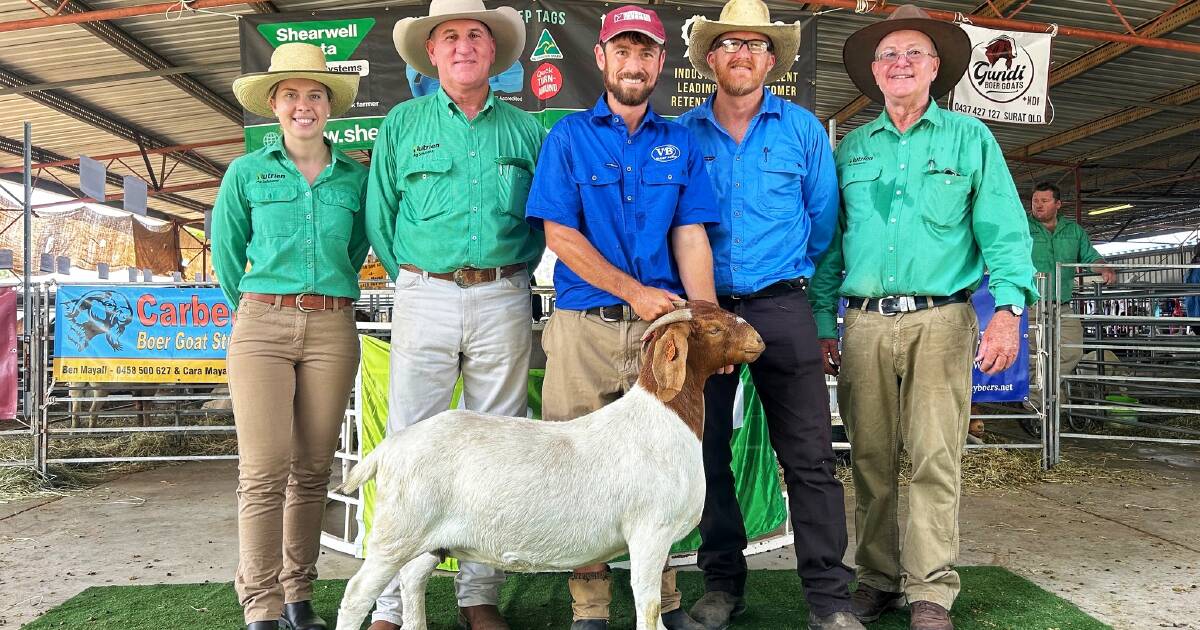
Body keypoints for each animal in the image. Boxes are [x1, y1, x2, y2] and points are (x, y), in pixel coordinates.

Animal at [336, 302, 768, 624]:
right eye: (713, 329)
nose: (759, 341)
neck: (662, 419)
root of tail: (388, 449)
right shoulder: (649, 532)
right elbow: (649, 606)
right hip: (397, 532)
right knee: (357, 595)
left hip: (429, 541)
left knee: (411, 581)